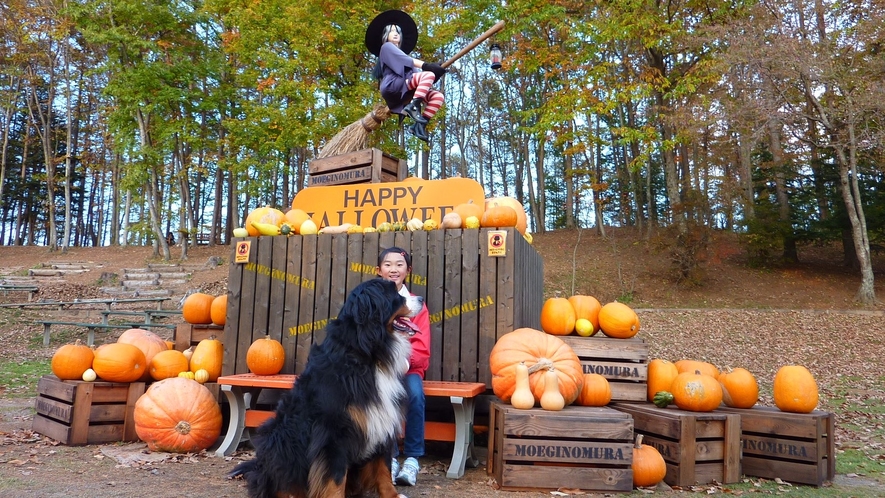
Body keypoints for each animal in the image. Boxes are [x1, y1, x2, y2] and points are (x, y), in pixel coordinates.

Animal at [228, 278, 422, 496]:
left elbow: (383, 468)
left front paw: (393, 494)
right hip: (279, 439)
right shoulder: (334, 431)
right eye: (395, 294)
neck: (366, 356)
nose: (422, 299)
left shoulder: (381, 419)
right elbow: (335, 477)